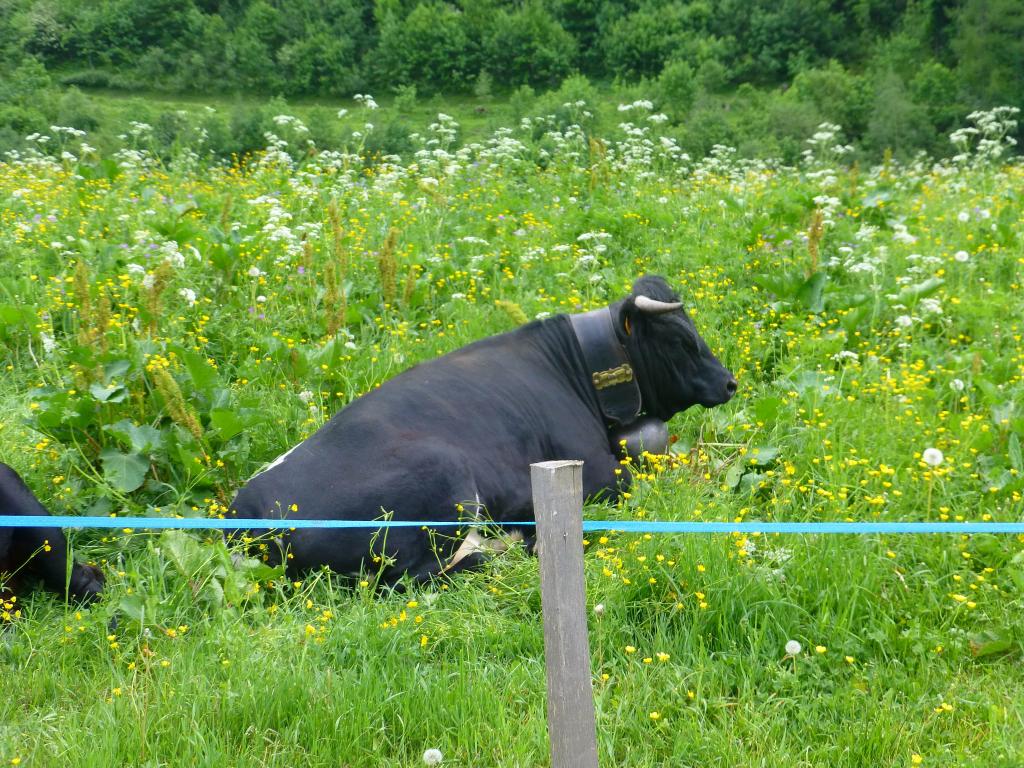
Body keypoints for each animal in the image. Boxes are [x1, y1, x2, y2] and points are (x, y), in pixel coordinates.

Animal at [232, 274, 737, 585]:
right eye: (680, 339)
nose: (729, 382)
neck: (571, 365)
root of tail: (244, 517)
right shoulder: (593, 471)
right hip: (442, 481)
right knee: (416, 578)